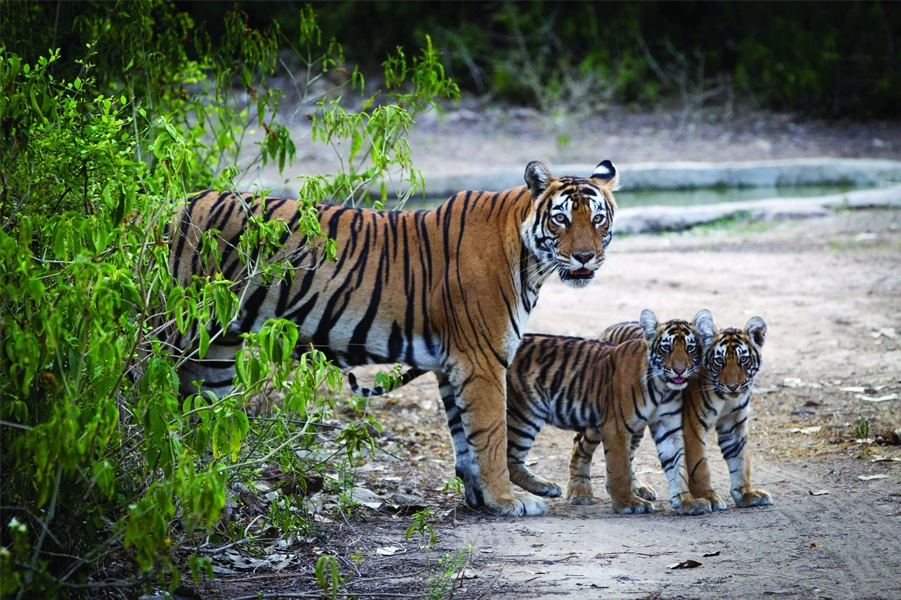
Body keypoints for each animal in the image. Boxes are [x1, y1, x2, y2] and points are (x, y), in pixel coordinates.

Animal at [169, 159, 620, 516]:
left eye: (598, 219)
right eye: (561, 218)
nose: (585, 257)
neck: (531, 262)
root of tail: (163, 205)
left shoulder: (451, 364)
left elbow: (465, 438)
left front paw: (480, 500)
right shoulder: (482, 359)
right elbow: (491, 434)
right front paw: (507, 501)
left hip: (214, 351)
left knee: (201, 423)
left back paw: (212, 496)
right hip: (173, 331)